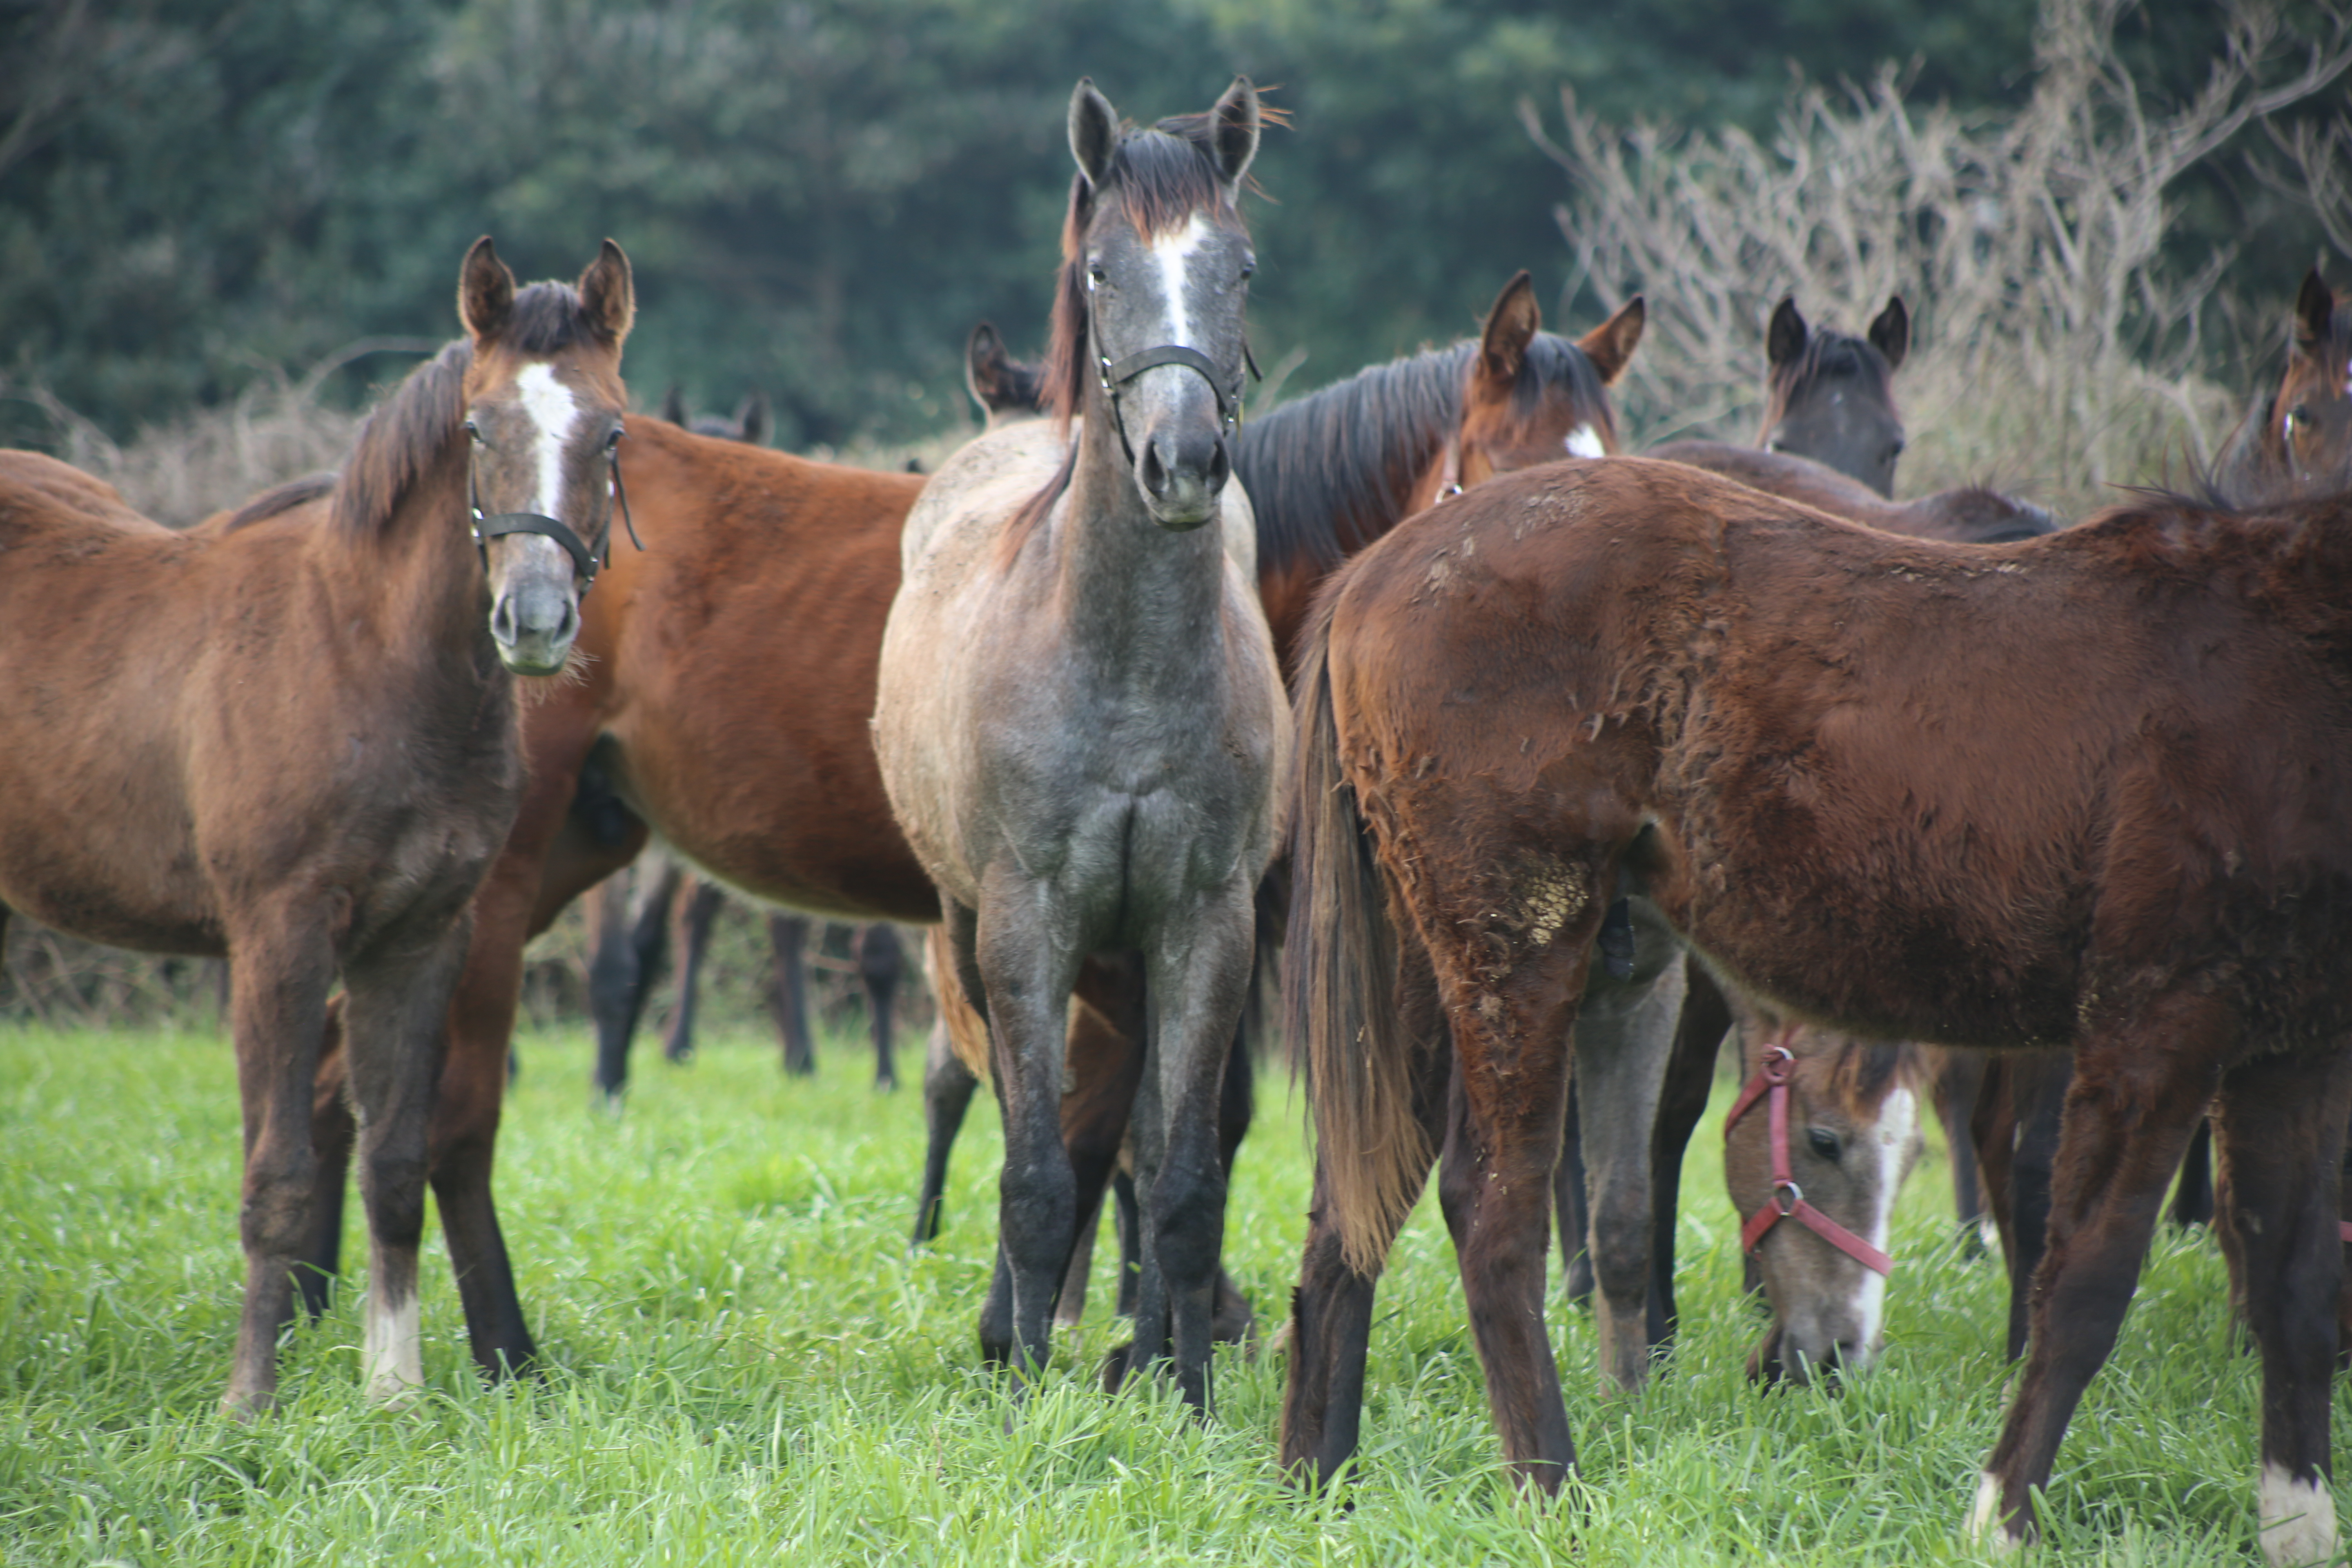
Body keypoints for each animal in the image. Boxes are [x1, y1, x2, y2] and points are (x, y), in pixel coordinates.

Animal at [0, 236, 635, 1420]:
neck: (362, 655)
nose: (533, 621)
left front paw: (395, 1392)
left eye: (612, 431)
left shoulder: (420, 935)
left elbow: (394, 1161)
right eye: (478, 428)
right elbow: (281, 1173)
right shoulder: (278, 937)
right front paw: (249, 1400)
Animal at [875, 80, 1289, 1420]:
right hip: (968, 928)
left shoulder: (1207, 922)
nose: (1182, 462)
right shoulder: (1026, 922)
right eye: (1103, 269)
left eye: (1239, 265)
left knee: (1147, 1144)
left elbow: (1185, 1175)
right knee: (1016, 1112)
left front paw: (1189, 1391)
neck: (1121, 667)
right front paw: (1018, 1383)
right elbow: (1037, 1170)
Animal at [1279, 446, 2352, 1561]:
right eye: (1826, 1145)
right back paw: (1549, 1488)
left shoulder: (2294, 1049)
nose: (1834, 1359)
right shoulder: (2156, 1028)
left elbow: (2297, 1281)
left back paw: (1318, 1480)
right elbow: (2087, 1283)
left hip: (1419, 967)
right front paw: (1999, 1514)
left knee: (1353, 1208)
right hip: (1518, 954)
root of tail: (1378, 564)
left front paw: (2299, 1520)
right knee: (1490, 1210)